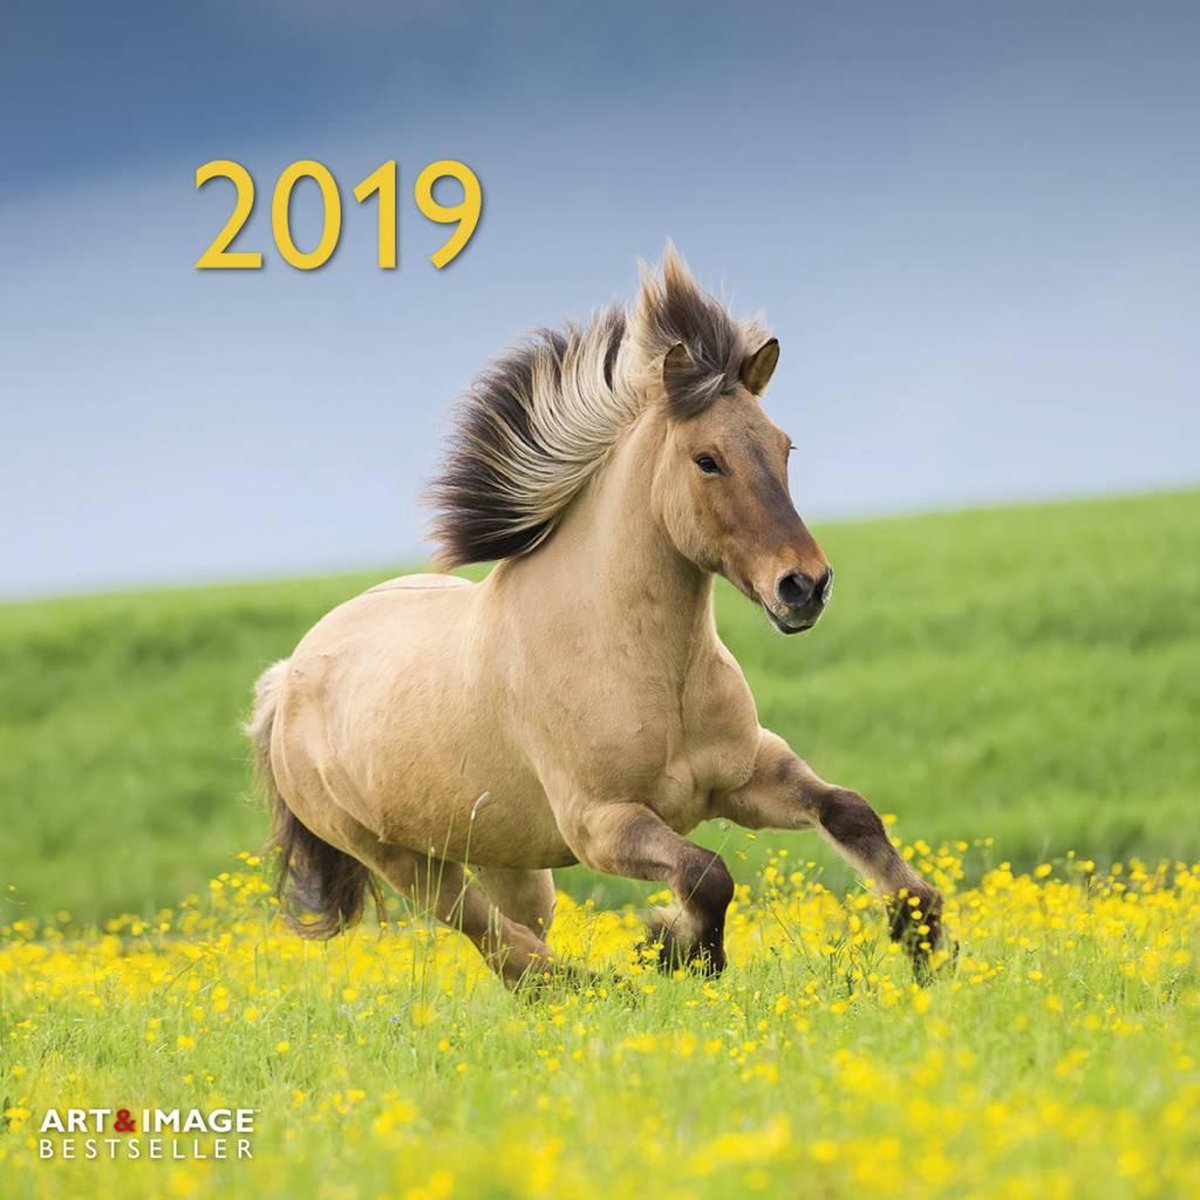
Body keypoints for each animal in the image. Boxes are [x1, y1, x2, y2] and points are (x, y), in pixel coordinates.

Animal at [247, 246, 944, 988]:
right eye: (707, 460)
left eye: (784, 447)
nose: (804, 586)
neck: (642, 662)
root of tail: (286, 681)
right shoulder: (601, 826)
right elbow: (707, 875)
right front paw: (674, 948)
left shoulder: (749, 777)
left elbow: (849, 811)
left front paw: (926, 935)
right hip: (410, 864)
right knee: (509, 952)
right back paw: (612, 985)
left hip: (512, 860)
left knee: (522, 946)